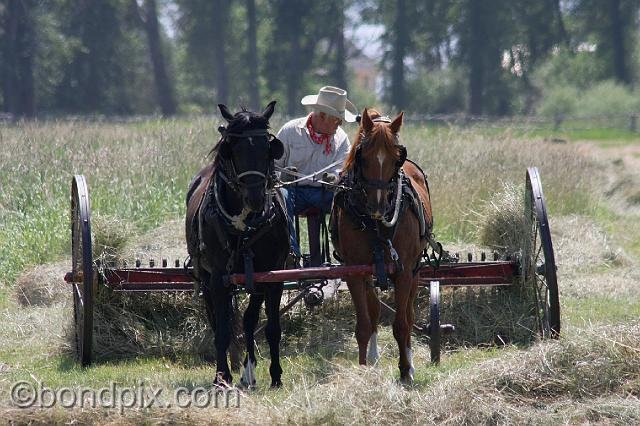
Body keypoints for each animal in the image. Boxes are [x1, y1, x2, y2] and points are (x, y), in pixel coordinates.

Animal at [186, 101, 288, 388]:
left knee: (248, 319)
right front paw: (222, 377)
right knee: (217, 320)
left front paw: (275, 376)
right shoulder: (219, 278)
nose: (255, 198)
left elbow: (269, 327)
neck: (245, 225)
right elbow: (222, 329)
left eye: (268, 148)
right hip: (207, 278)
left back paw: (248, 372)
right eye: (232, 149)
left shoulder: (272, 274)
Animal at [332, 108, 432, 382]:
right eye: (363, 157)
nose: (377, 207)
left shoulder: (404, 271)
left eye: (397, 159)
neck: (375, 223)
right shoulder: (355, 272)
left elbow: (402, 324)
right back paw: (375, 358)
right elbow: (364, 324)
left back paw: (410, 361)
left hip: (415, 270)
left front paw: (405, 370)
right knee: (375, 310)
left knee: (408, 313)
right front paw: (362, 370)